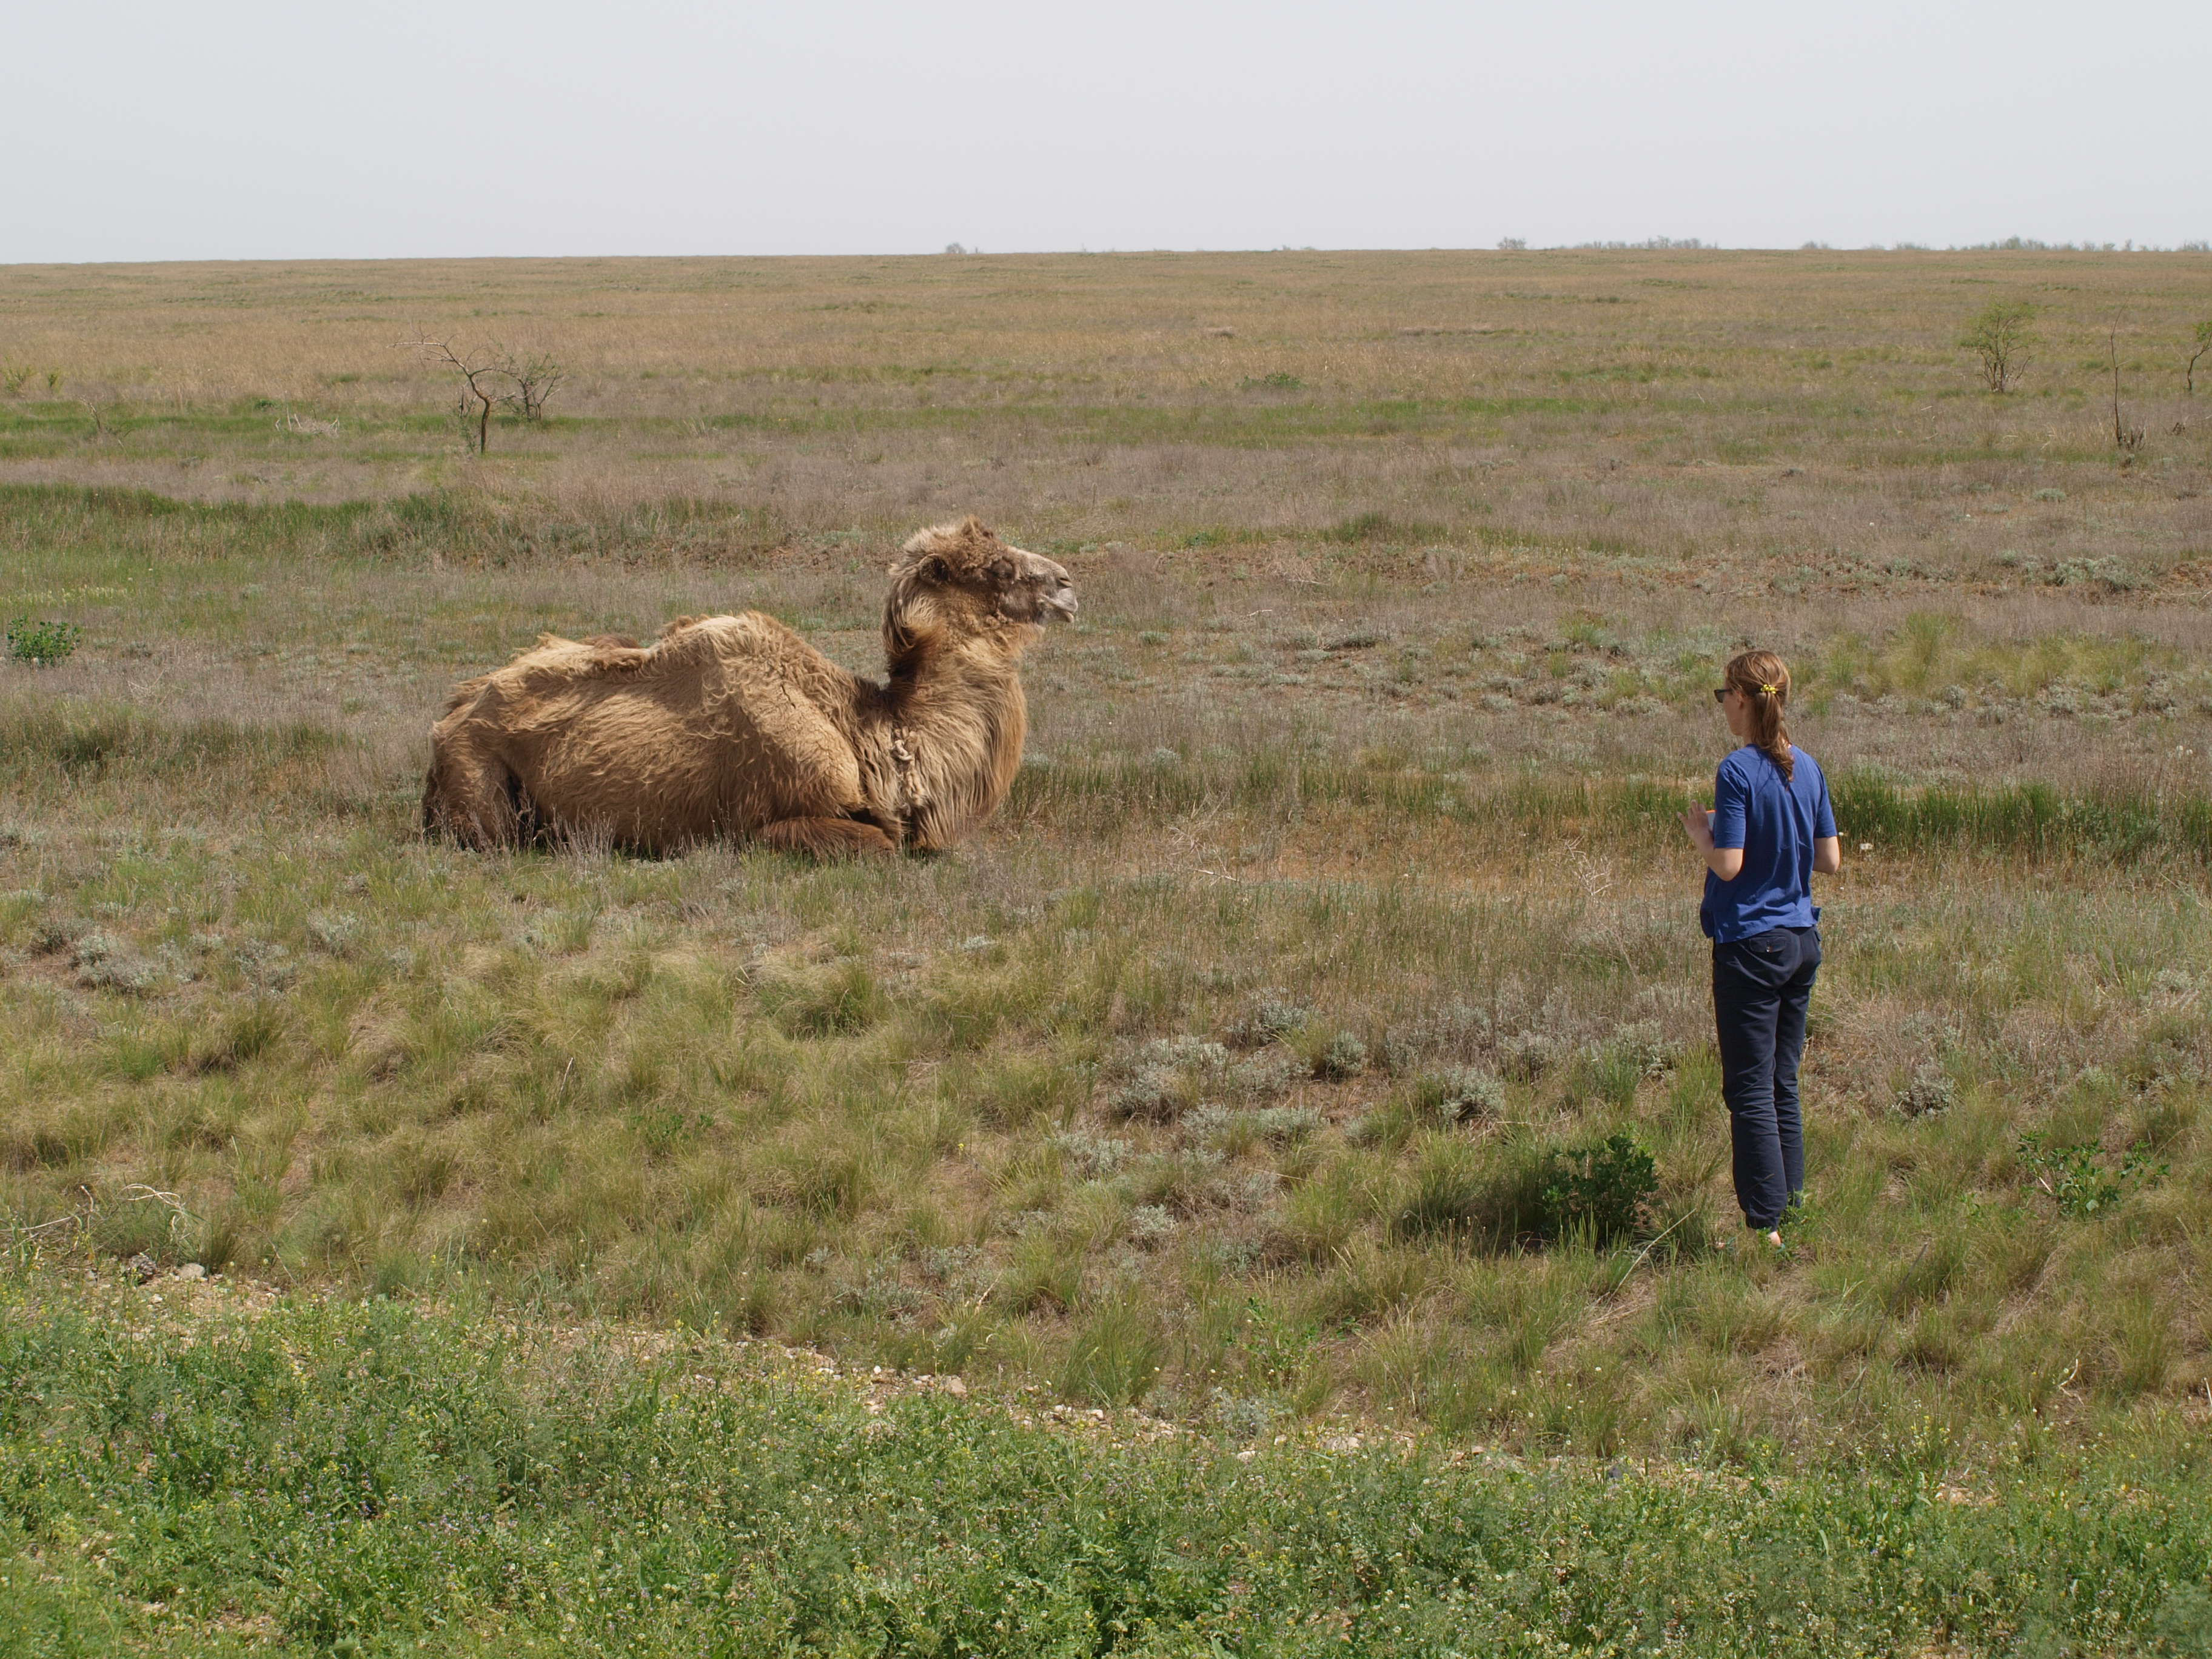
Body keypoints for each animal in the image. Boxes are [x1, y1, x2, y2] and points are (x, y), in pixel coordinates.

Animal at [422, 520, 1079, 858]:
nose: (1068, 585)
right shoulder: (773, 817)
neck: (873, 736)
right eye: (998, 568)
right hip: (482, 792)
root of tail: (451, 713)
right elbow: (884, 844)